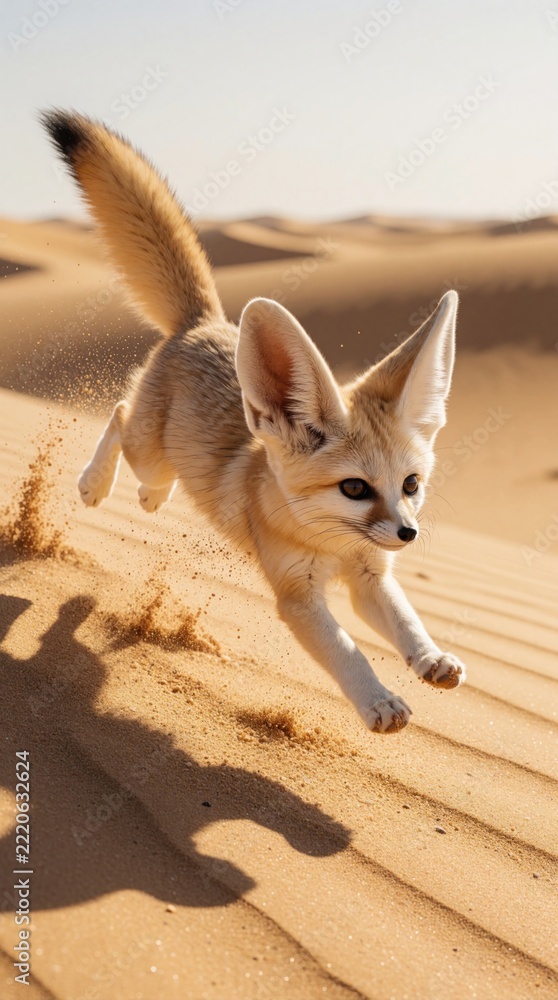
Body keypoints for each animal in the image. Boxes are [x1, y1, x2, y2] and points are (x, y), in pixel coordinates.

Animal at [42, 109, 466, 735]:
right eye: (355, 488)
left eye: (411, 484)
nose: (409, 533)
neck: (330, 545)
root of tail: (205, 321)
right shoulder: (297, 596)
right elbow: (346, 651)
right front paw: (378, 701)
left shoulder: (371, 576)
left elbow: (406, 621)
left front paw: (431, 658)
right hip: (147, 446)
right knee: (119, 417)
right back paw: (97, 485)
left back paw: (151, 497)